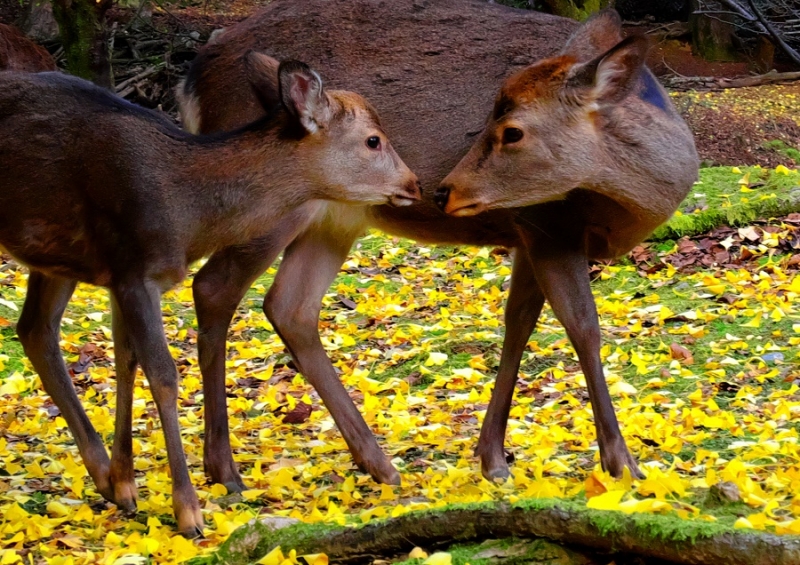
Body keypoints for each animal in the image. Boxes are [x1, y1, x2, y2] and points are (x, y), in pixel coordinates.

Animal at [0, 59, 422, 536]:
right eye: (373, 139)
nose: (415, 184)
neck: (190, 216)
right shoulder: (135, 269)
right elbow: (163, 376)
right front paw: (188, 511)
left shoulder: (121, 275)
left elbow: (125, 363)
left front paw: (123, 483)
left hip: (52, 259)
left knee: (34, 329)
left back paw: (101, 473)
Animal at [178, 0, 696, 492]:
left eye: (511, 130)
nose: (442, 191)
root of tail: (192, 77)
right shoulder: (549, 223)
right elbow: (583, 327)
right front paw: (623, 464)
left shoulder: (527, 233)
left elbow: (519, 324)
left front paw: (492, 458)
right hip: (261, 205)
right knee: (212, 287)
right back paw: (223, 470)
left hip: (336, 219)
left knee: (290, 305)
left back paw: (377, 463)